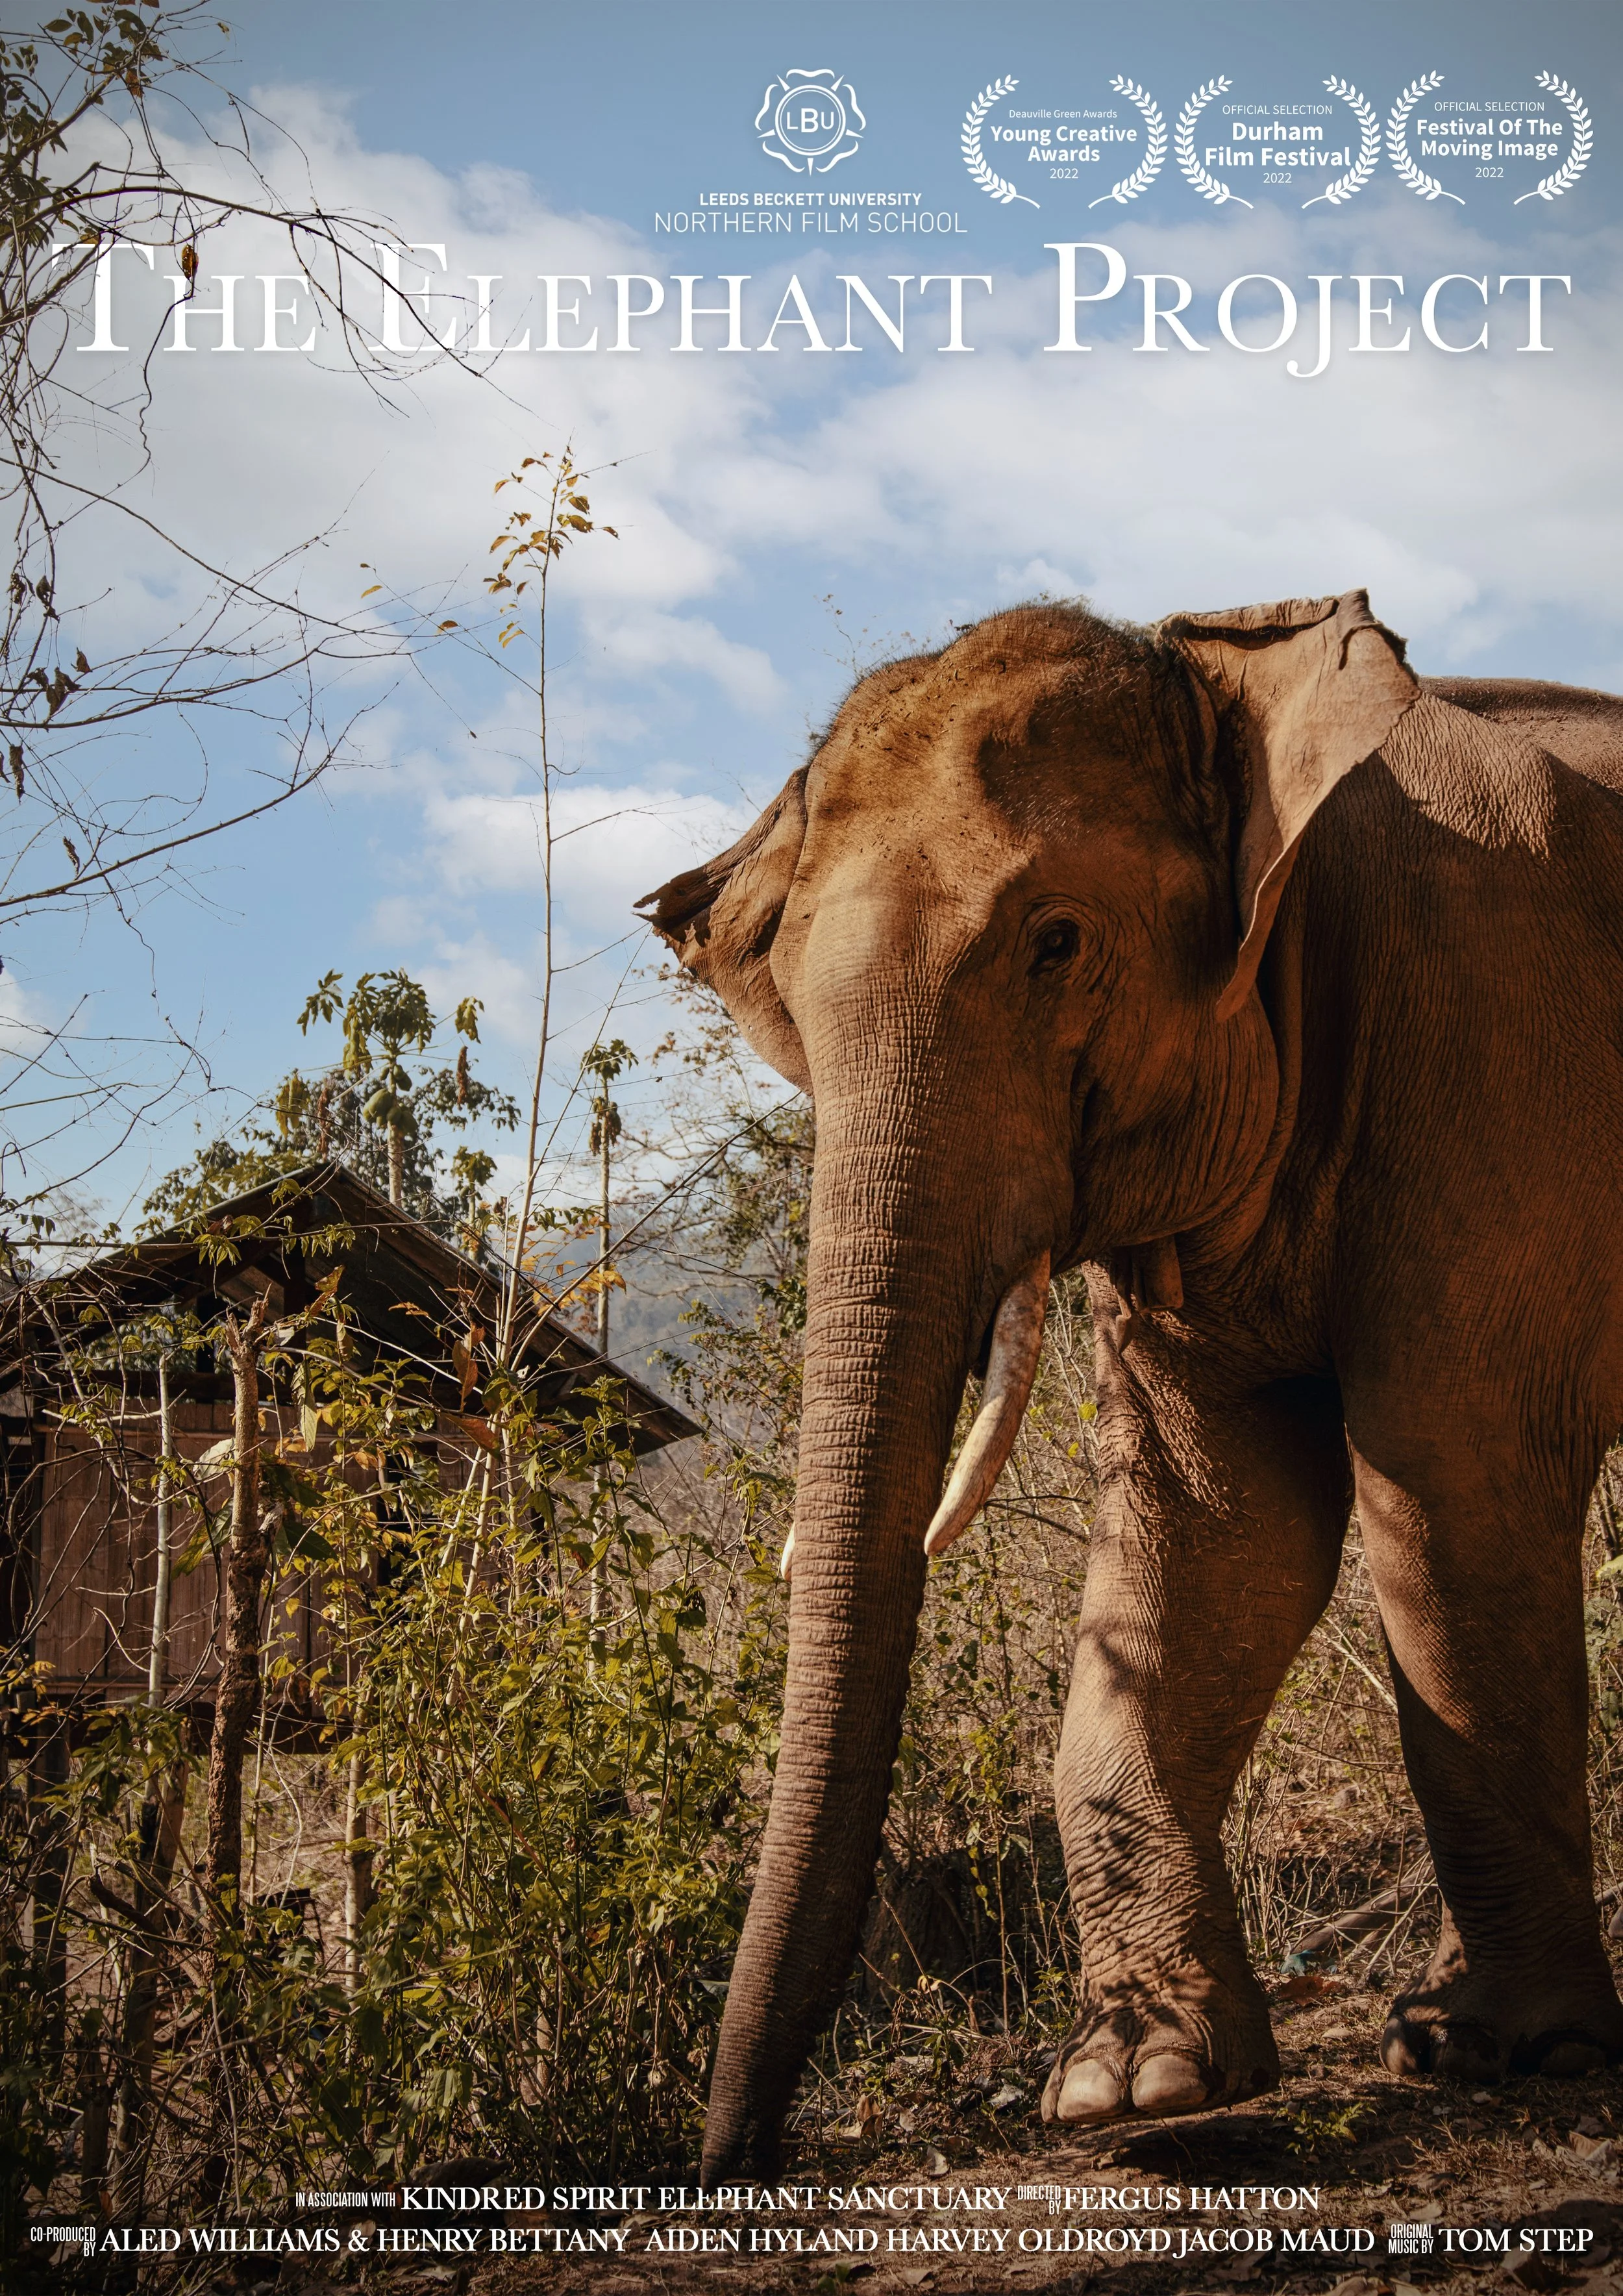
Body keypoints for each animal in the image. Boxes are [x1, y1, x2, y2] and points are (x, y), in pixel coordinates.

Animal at [637, 590, 1623, 2183]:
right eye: (785, 1007)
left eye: (1055, 942)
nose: (733, 2167)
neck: (1234, 684)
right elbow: (1215, 1534)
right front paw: (1133, 2085)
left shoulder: (1500, 1045)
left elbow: (1452, 1492)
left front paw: (1516, 2048)